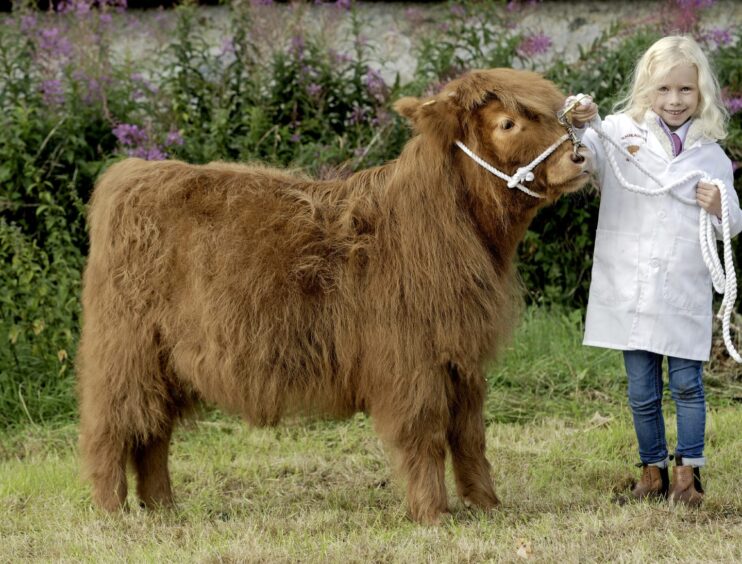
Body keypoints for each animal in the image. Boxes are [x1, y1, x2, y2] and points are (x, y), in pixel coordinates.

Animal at [80, 67, 592, 524]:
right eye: (508, 123)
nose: (580, 156)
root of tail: (131, 175)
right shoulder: (410, 360)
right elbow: (425, 433)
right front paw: (433, 514)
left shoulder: (461, 358)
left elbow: (469, 436)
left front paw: (487, 505)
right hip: (125, 352)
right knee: (112, 428)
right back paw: (112, 513)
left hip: (162, 363)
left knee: (152, 432)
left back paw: (162, 508)